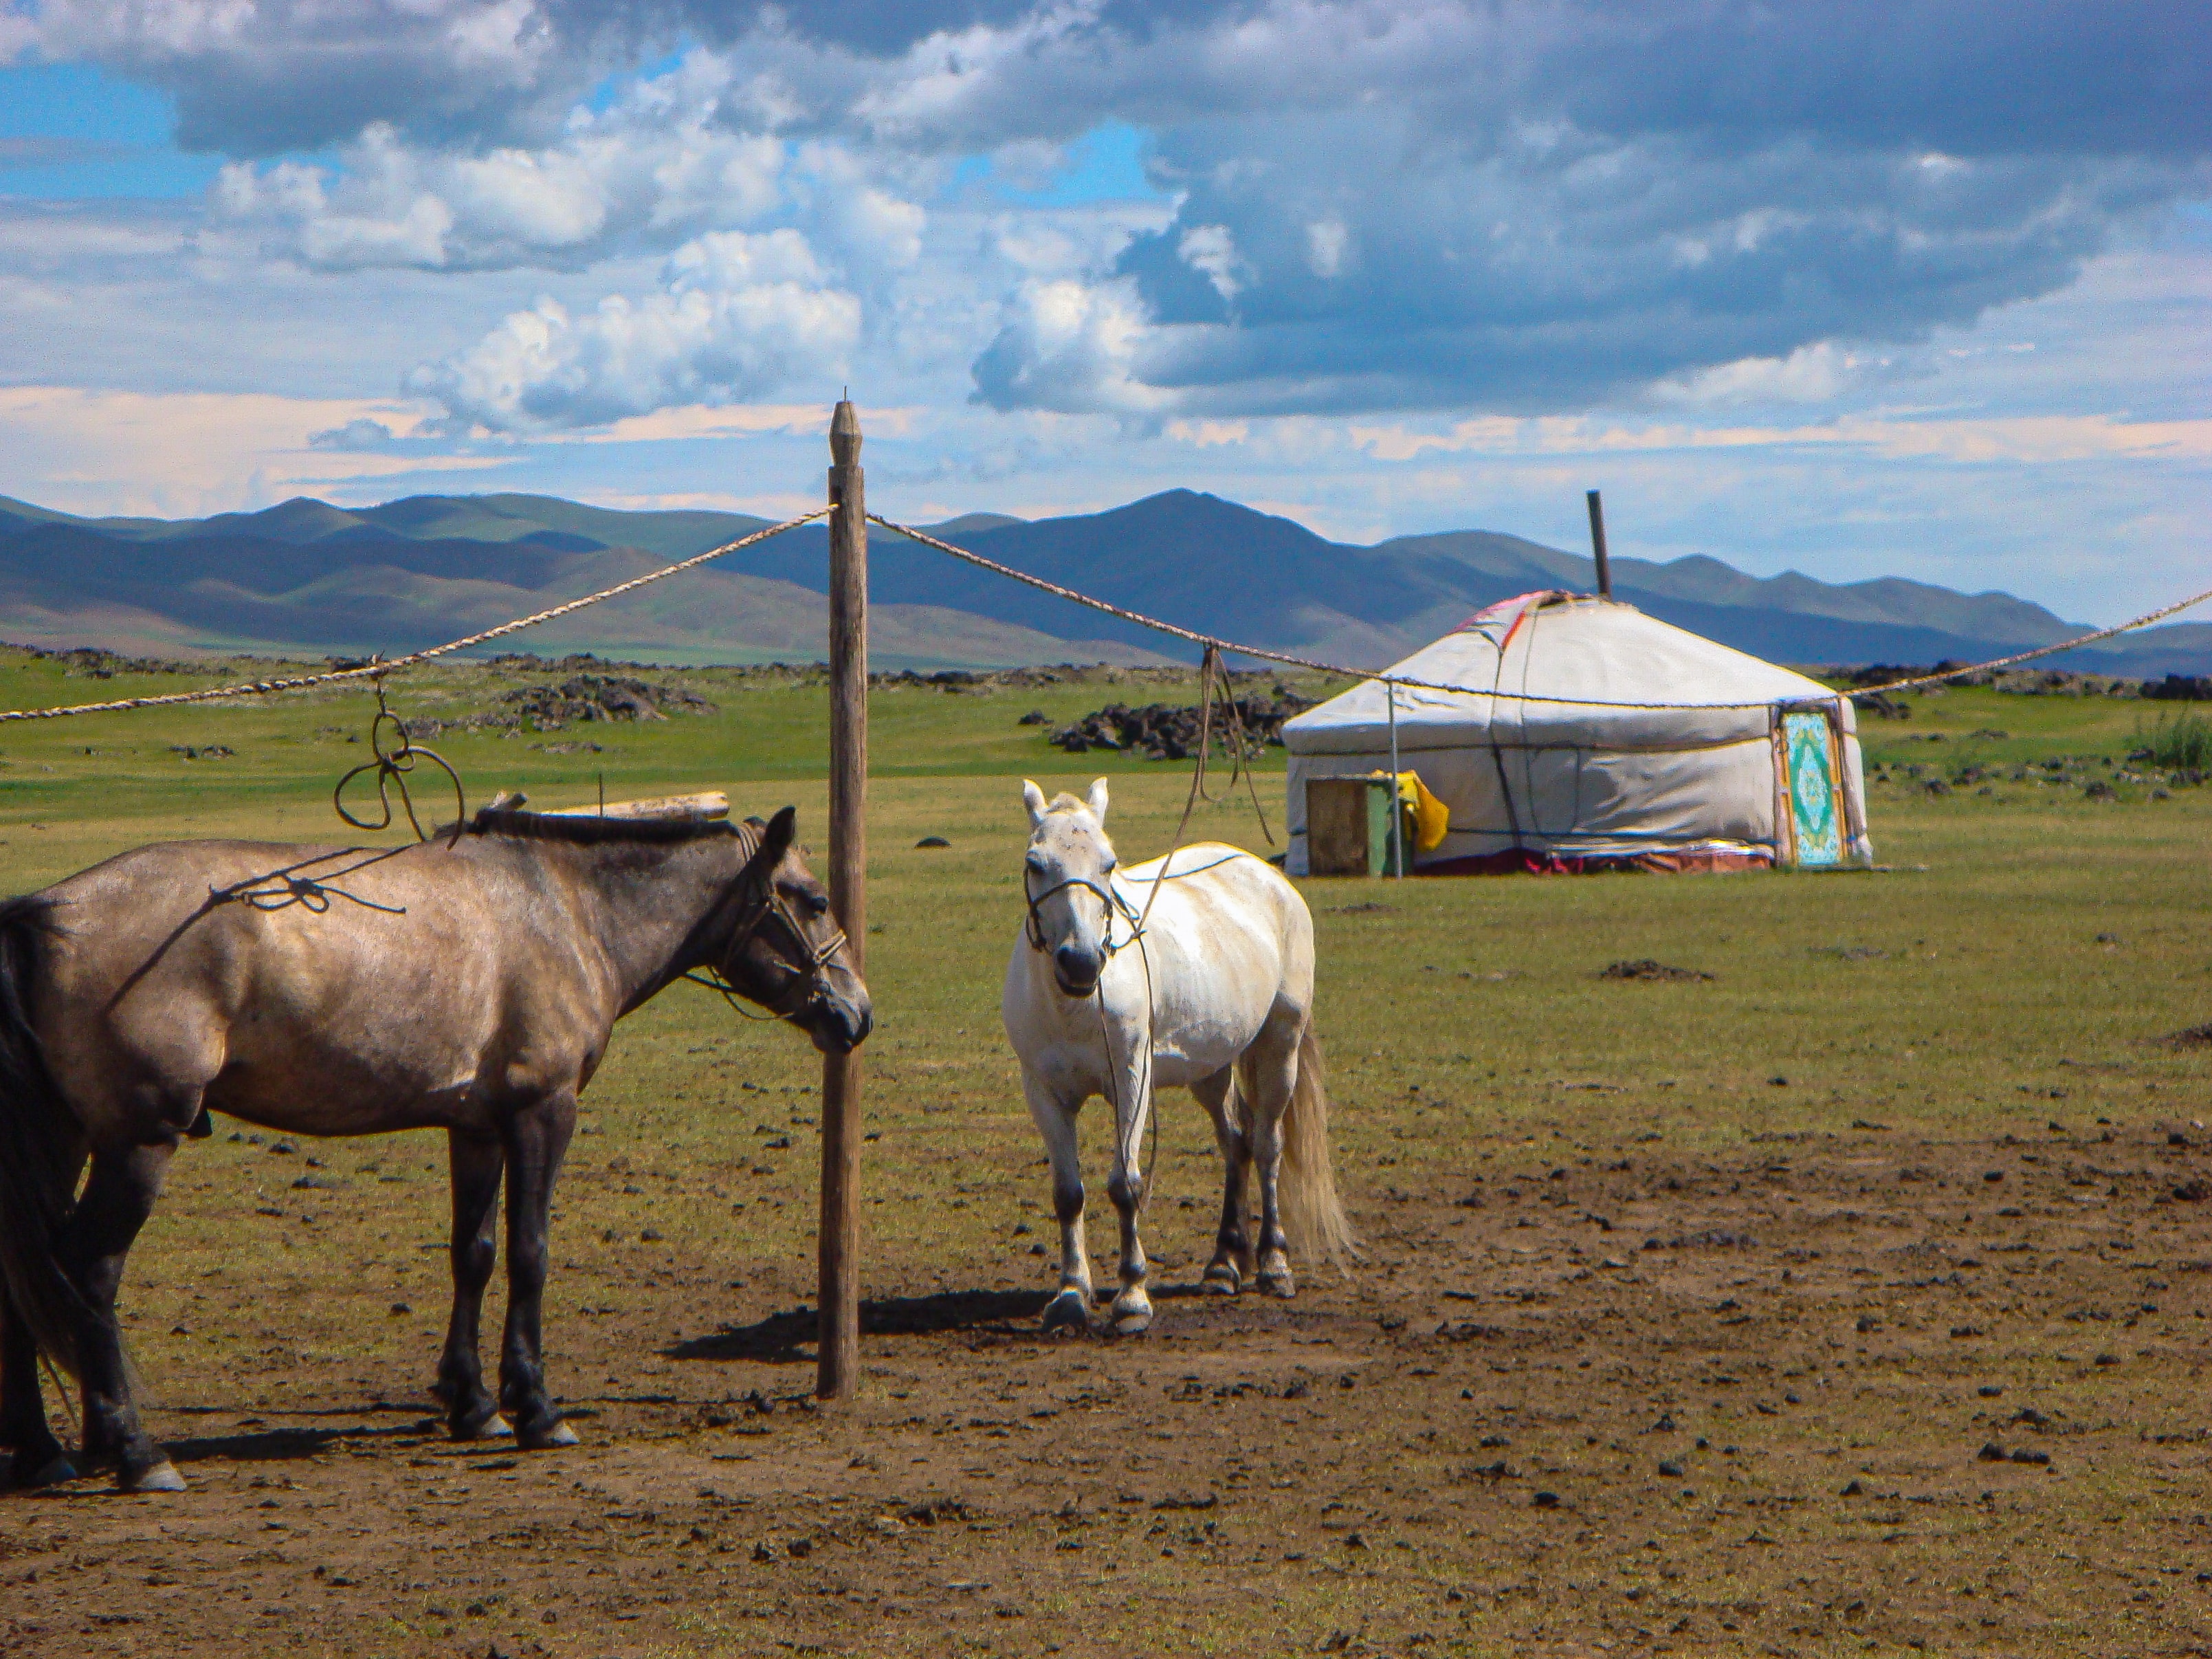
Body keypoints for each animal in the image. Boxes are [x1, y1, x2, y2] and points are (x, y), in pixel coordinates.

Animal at [0, 800, 871, 1495]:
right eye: (815, 899)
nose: (857, 1014)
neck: (564, 910)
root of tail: (43, 910)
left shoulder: (476, 1126)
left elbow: (473, 1254)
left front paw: (474, 1403)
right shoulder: (543, 1112)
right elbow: (529, 1254)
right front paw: (535, 1408)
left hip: (68, 1141)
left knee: (29, 1279)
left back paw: (45, 1451)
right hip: (138, 1145)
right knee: (89, 1273)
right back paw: (135, 1451)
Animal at [999, 778, 1345, 1336]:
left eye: (1109, 863)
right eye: (1036, 863)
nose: (1080, 961)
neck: (1075, 1005)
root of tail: (1268, 875)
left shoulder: (1132, 1083)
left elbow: (1125, 1185)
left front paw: (1132, 1296)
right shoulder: (1044, 1092)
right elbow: (1068, 1193)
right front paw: (1072, 1294)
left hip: (1280, 1048)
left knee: (1267, 1145)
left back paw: (1273, 1263)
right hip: (1211, 1068)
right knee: (1236, 1142)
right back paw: (1224, 1263)